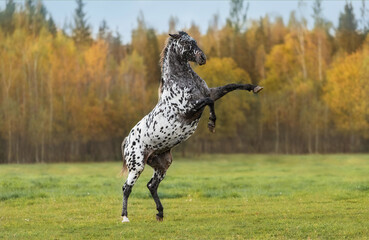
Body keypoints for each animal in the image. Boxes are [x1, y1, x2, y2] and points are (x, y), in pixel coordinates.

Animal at [120, 31, 262, 222]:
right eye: (186, 43)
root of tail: (127, 140)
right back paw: (125, 217)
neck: (181, 80)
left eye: (194, 40)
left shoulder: (211, 93)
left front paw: (255, 87)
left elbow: (231, 86)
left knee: (151, 186)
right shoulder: (189, 109)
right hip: (137, 165)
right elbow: (209, 102)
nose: (202, 58)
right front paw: (211, 123)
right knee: (126, 188)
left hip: (162, 164)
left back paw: (160, 213)